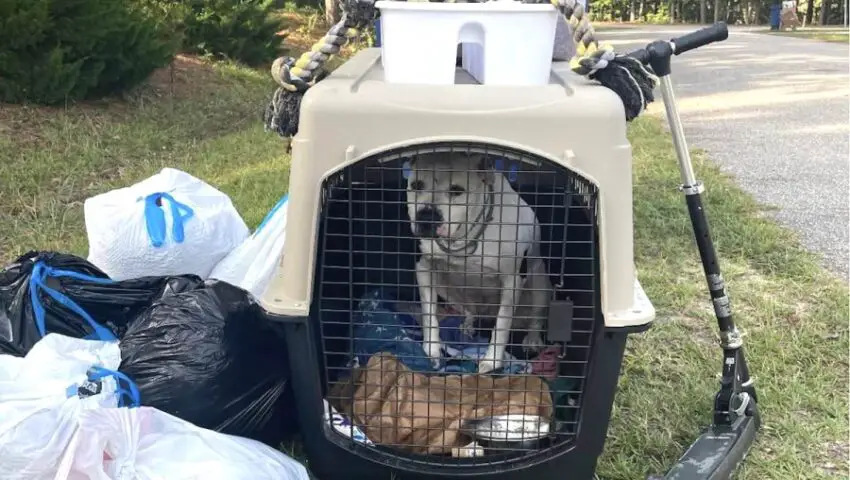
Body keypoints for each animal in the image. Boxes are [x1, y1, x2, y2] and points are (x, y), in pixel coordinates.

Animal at [404, 152, 548, 374]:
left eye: (457, 191)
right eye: (416, 185)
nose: (426, 217)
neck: (464, 237)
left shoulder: (512, 281)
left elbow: (502, 323)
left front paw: (492, 360)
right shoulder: (424, 267)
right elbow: (429, 313)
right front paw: (432, 349)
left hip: (540, 283)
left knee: (536, 316)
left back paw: (532, 339)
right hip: (447, 290)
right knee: (469, 310)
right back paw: (468, 325)